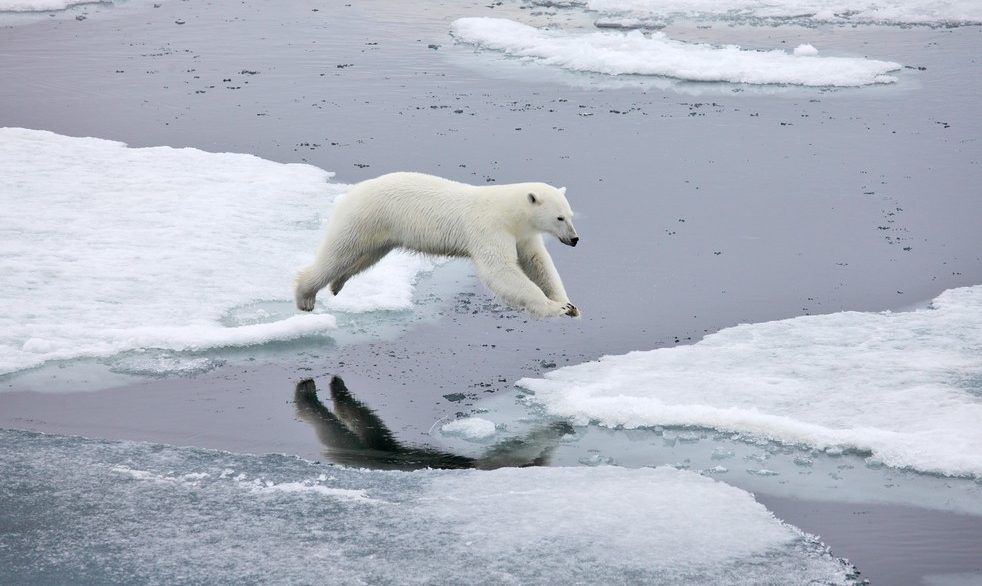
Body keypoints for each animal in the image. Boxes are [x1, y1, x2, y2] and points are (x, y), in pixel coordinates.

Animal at [295, 172, 580, 318]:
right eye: (559, 217)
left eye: (570, 215)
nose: (575, 239)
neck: (509, 212)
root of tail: (351, 192)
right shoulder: (490, 228)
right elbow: (500, 271)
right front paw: (555, 307)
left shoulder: (522, 234)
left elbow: (538, 263)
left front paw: (569, 304)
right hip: (364, 218)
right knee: (337, 253)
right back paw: (305, 296)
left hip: (381, 232)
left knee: (364, 257)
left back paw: (337, 284)